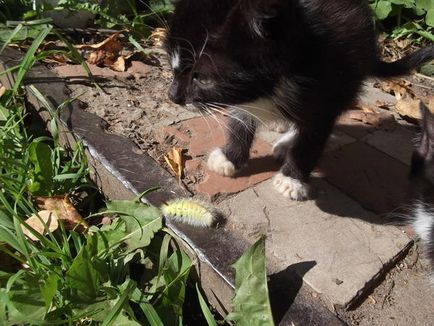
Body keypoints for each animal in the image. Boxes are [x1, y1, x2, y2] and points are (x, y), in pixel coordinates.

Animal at [164, 0, 434, 200]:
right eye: (172, 64)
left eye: (203, 78)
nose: (173, 96)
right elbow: (241, 119)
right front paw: (230, 156)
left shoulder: (326, 92)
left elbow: (312, 137)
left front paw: (292, 179)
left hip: (349, 76)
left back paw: (287, 144)